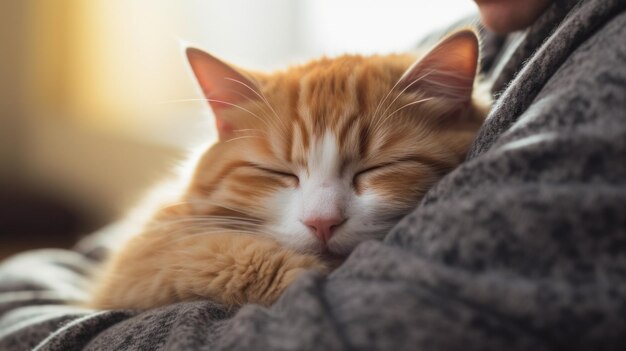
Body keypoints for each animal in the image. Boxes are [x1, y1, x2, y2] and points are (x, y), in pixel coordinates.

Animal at [88, 29, 488, 310]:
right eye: (278, 173)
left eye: (377, 168)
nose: (322, 223)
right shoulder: (145, 254)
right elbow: (214, 252)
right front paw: (302, 271)